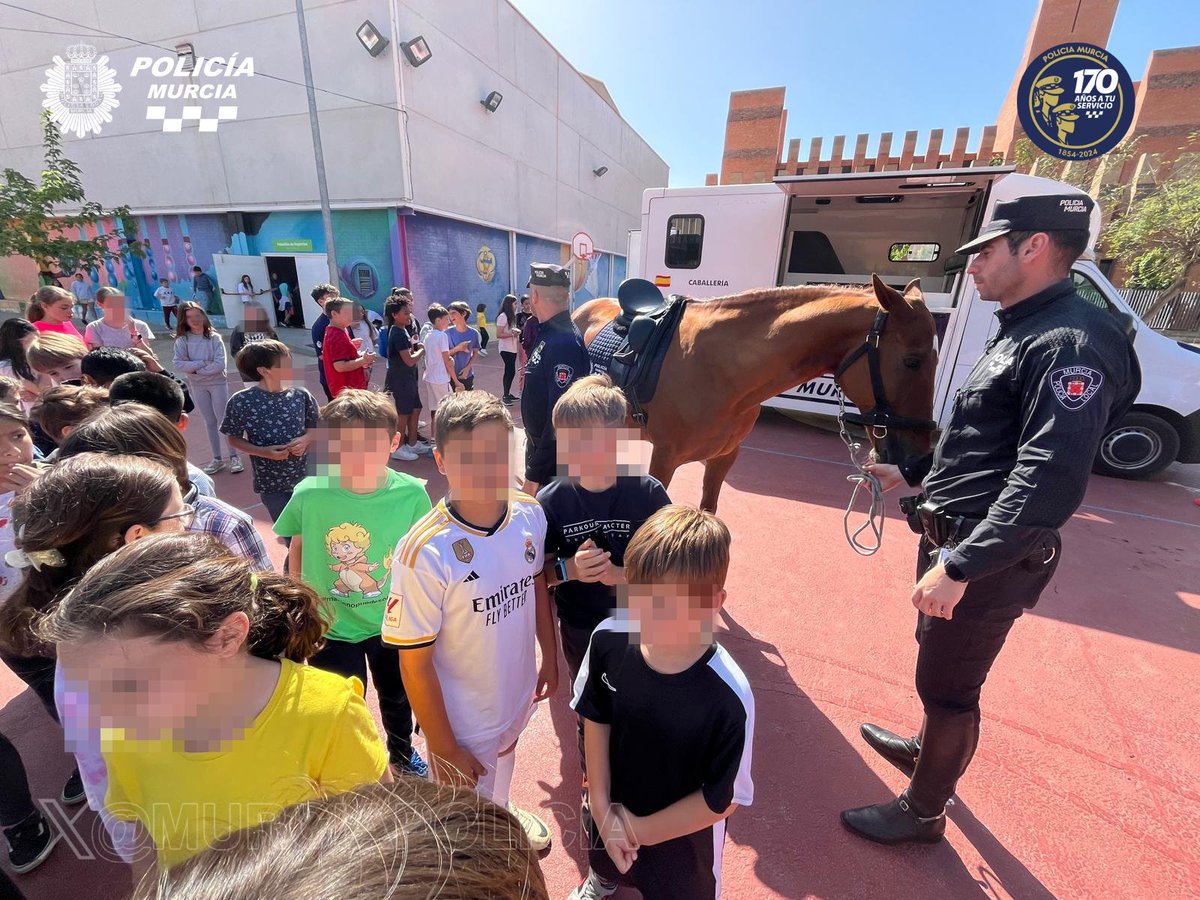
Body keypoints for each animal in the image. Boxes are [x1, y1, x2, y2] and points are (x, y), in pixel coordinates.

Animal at [571, 274, 936, 513]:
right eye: (912, 361)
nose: (917, 458)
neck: (722, 369)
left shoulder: (724, 457)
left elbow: (708, 512)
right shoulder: (664, 458)